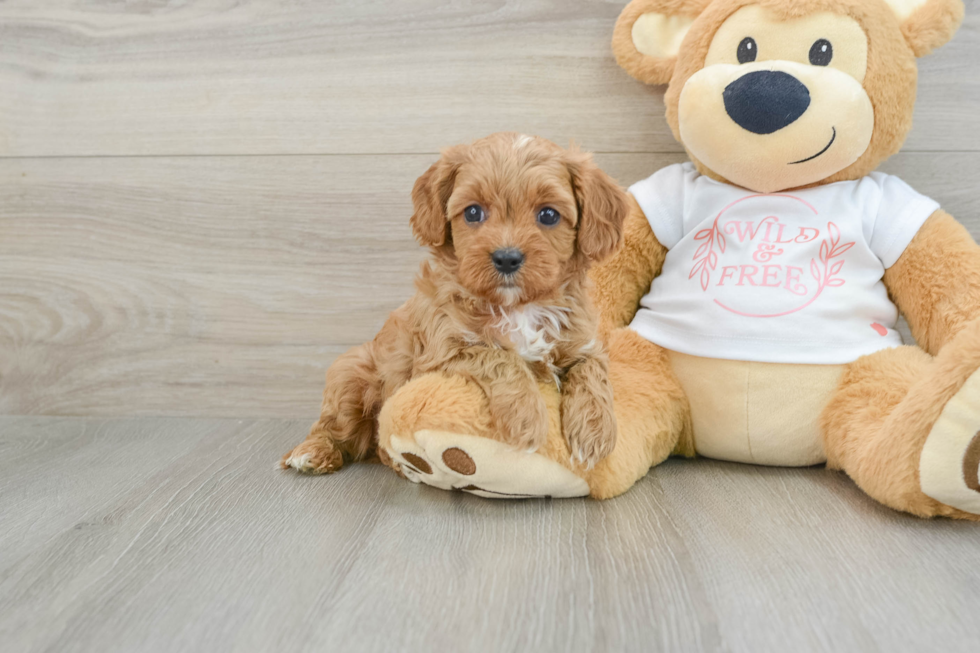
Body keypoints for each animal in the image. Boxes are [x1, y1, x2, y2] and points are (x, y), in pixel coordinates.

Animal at [282, 132, 628, 476]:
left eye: (548, 215)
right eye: (473, 212)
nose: (507, 258)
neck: (519, 307)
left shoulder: (583, 342)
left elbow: (593, 371)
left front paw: (596, 433)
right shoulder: (440, 352)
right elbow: (500, 357)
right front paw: (527, 418)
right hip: (350, 372)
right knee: (335, 426)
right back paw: (313, 452)